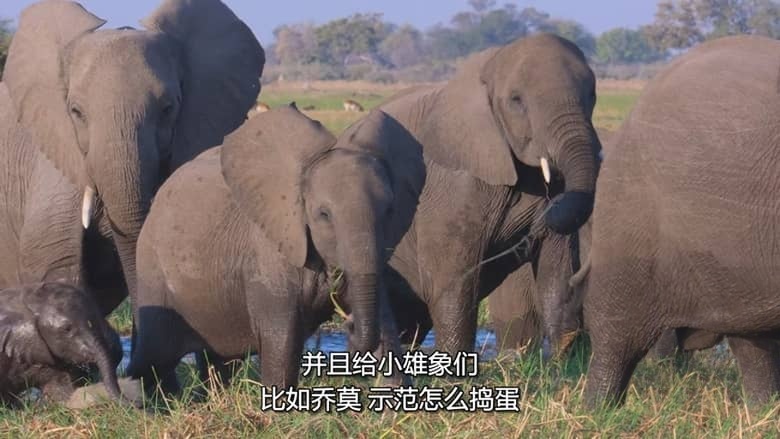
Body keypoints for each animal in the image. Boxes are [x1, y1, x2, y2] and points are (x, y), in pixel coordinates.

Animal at [127, 105, 423, 392]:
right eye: (324, 214)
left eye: (389, 211)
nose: (348, 323)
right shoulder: (269, 253)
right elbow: (283, 340)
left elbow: (385, 323)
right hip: (152, 266)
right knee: (153, 354)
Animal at [364, 33, 601, 354]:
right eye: (516, 100)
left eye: (592, 94)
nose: (546, 211)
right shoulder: (450, 184)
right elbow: (453, 279)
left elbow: (556, 269)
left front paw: (564, 361)